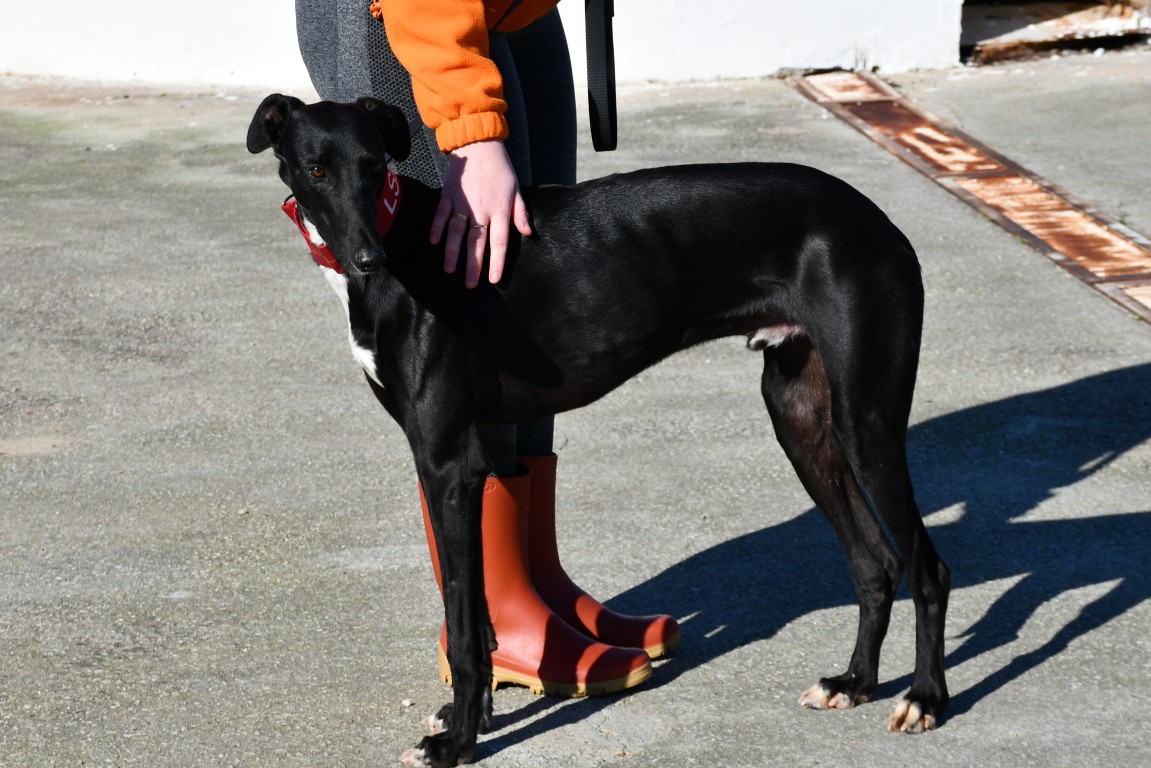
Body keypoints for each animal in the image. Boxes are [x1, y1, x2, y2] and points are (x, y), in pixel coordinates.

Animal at [247, 94, 950, 767]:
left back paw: (924, 698)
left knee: (927, 568)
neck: (409, 242)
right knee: (876, 563)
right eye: (317, 169)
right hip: (801, 419)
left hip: (866, 423)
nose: (370, 259)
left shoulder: (447, 462)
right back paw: (855, 683)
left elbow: (465, 619)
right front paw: (473, 720)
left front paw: (459, 745)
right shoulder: (458, 464)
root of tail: (879, 220)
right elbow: (476, 609)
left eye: (375, 168)